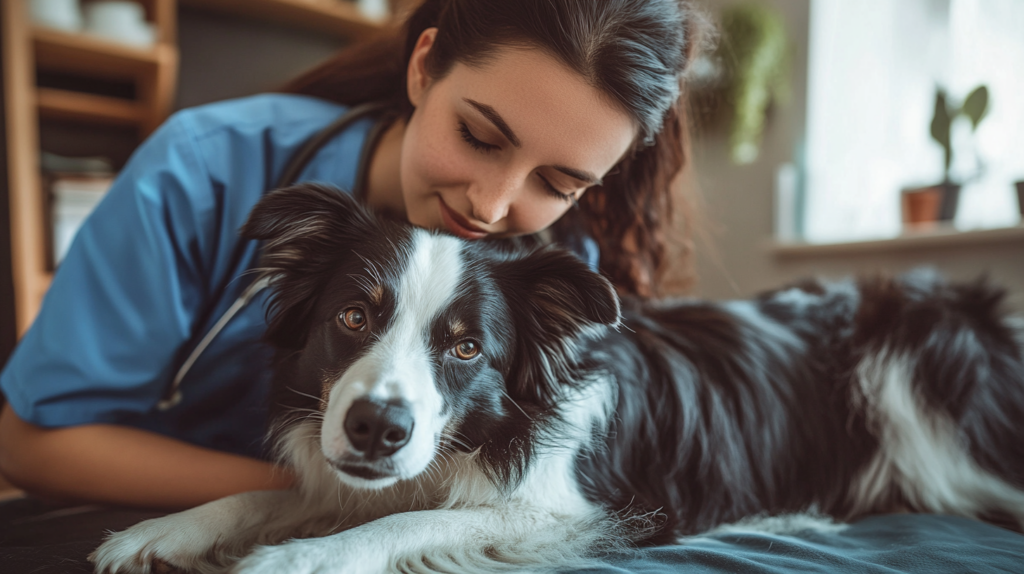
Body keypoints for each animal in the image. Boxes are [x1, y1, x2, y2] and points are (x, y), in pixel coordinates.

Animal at [92, 184, 1024, 572]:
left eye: (467, 348)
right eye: (353, 317)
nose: (378, 431)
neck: (490, 431)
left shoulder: (574, 512)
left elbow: (402, 523)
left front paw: (299, 559)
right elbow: (273, 494)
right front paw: (159, 533)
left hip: (918, 377)